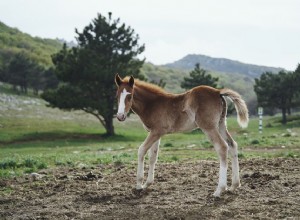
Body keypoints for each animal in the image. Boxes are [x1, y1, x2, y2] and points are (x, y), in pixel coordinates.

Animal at [115, 74, 248, 196]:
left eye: (130, 95)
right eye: (117, 95)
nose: (120, 116)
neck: (152, 104)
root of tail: (217, 92)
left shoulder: (156, 131)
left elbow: (141, 150)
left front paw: (139, 185)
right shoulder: (155, 133)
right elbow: (153, 156)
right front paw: (148, 184)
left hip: (209, 127)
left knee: (222, 147)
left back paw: (219, 190)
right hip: (221, 124)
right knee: (232, 145)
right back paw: (234, 186)